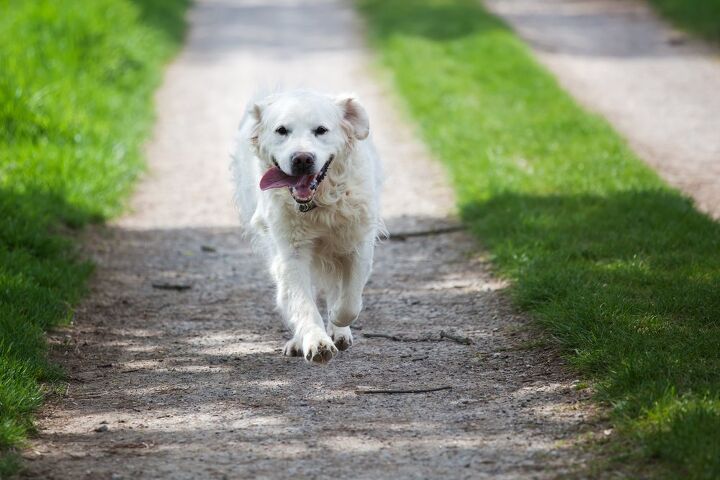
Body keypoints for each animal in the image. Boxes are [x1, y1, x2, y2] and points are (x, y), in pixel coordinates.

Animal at [233, 90, 386, 364]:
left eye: (321, 130)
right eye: (281, 130)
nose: (302, 159)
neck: (318, 205)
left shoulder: (358, 243)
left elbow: (349, 300)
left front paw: (337, 320)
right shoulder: (290, 254)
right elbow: (302, 303)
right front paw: (316, 341)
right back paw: (299, 341)